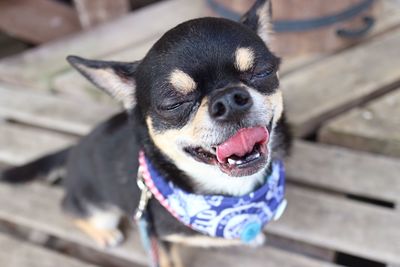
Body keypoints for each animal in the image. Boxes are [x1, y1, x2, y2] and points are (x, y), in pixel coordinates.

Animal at [2, 0, 290, 266]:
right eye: (173, 103)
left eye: (262, 72)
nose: (229, 100)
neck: (231, 194)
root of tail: (74, 147)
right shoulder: (160, 240)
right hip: (98, 210)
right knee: (71, 211)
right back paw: (104, 234)